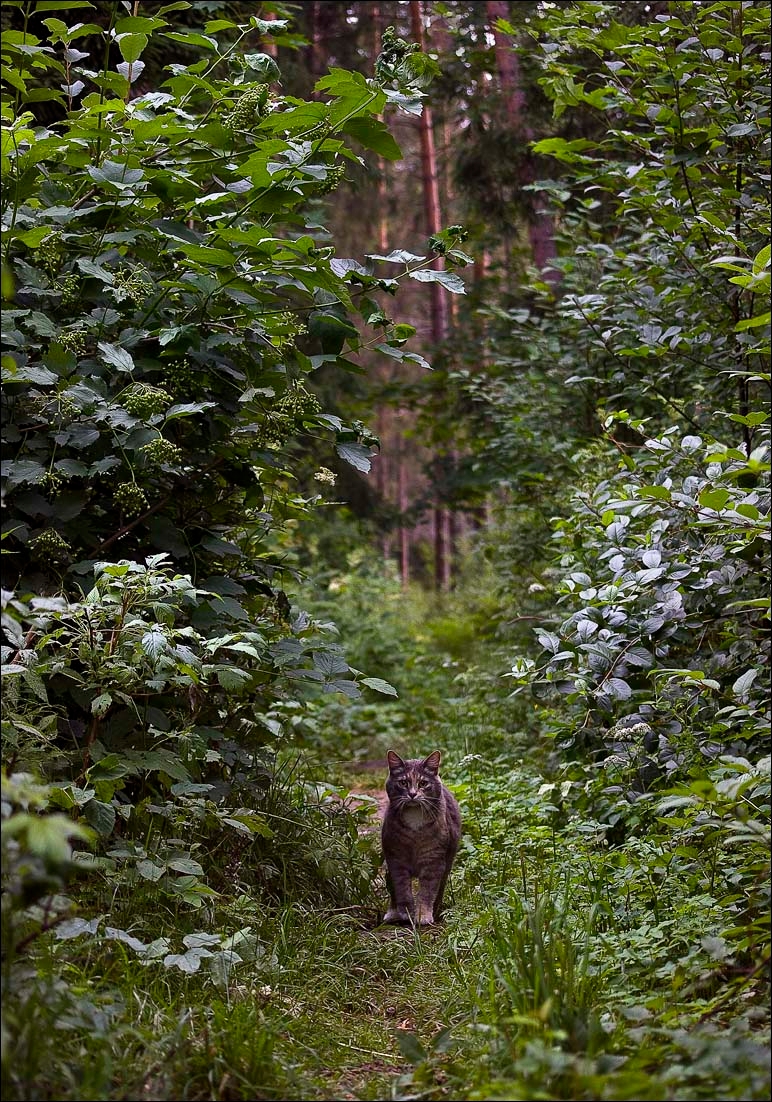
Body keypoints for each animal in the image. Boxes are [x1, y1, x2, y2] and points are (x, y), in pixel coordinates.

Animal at [378, 749, 458, 921]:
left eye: (423, 783)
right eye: (403, 783)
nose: (413, 794)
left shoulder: (434, 859)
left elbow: (427, 891)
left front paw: (423, 915)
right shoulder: (396, 858)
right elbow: (402, 889)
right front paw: (406, 913)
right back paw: (392, 913)